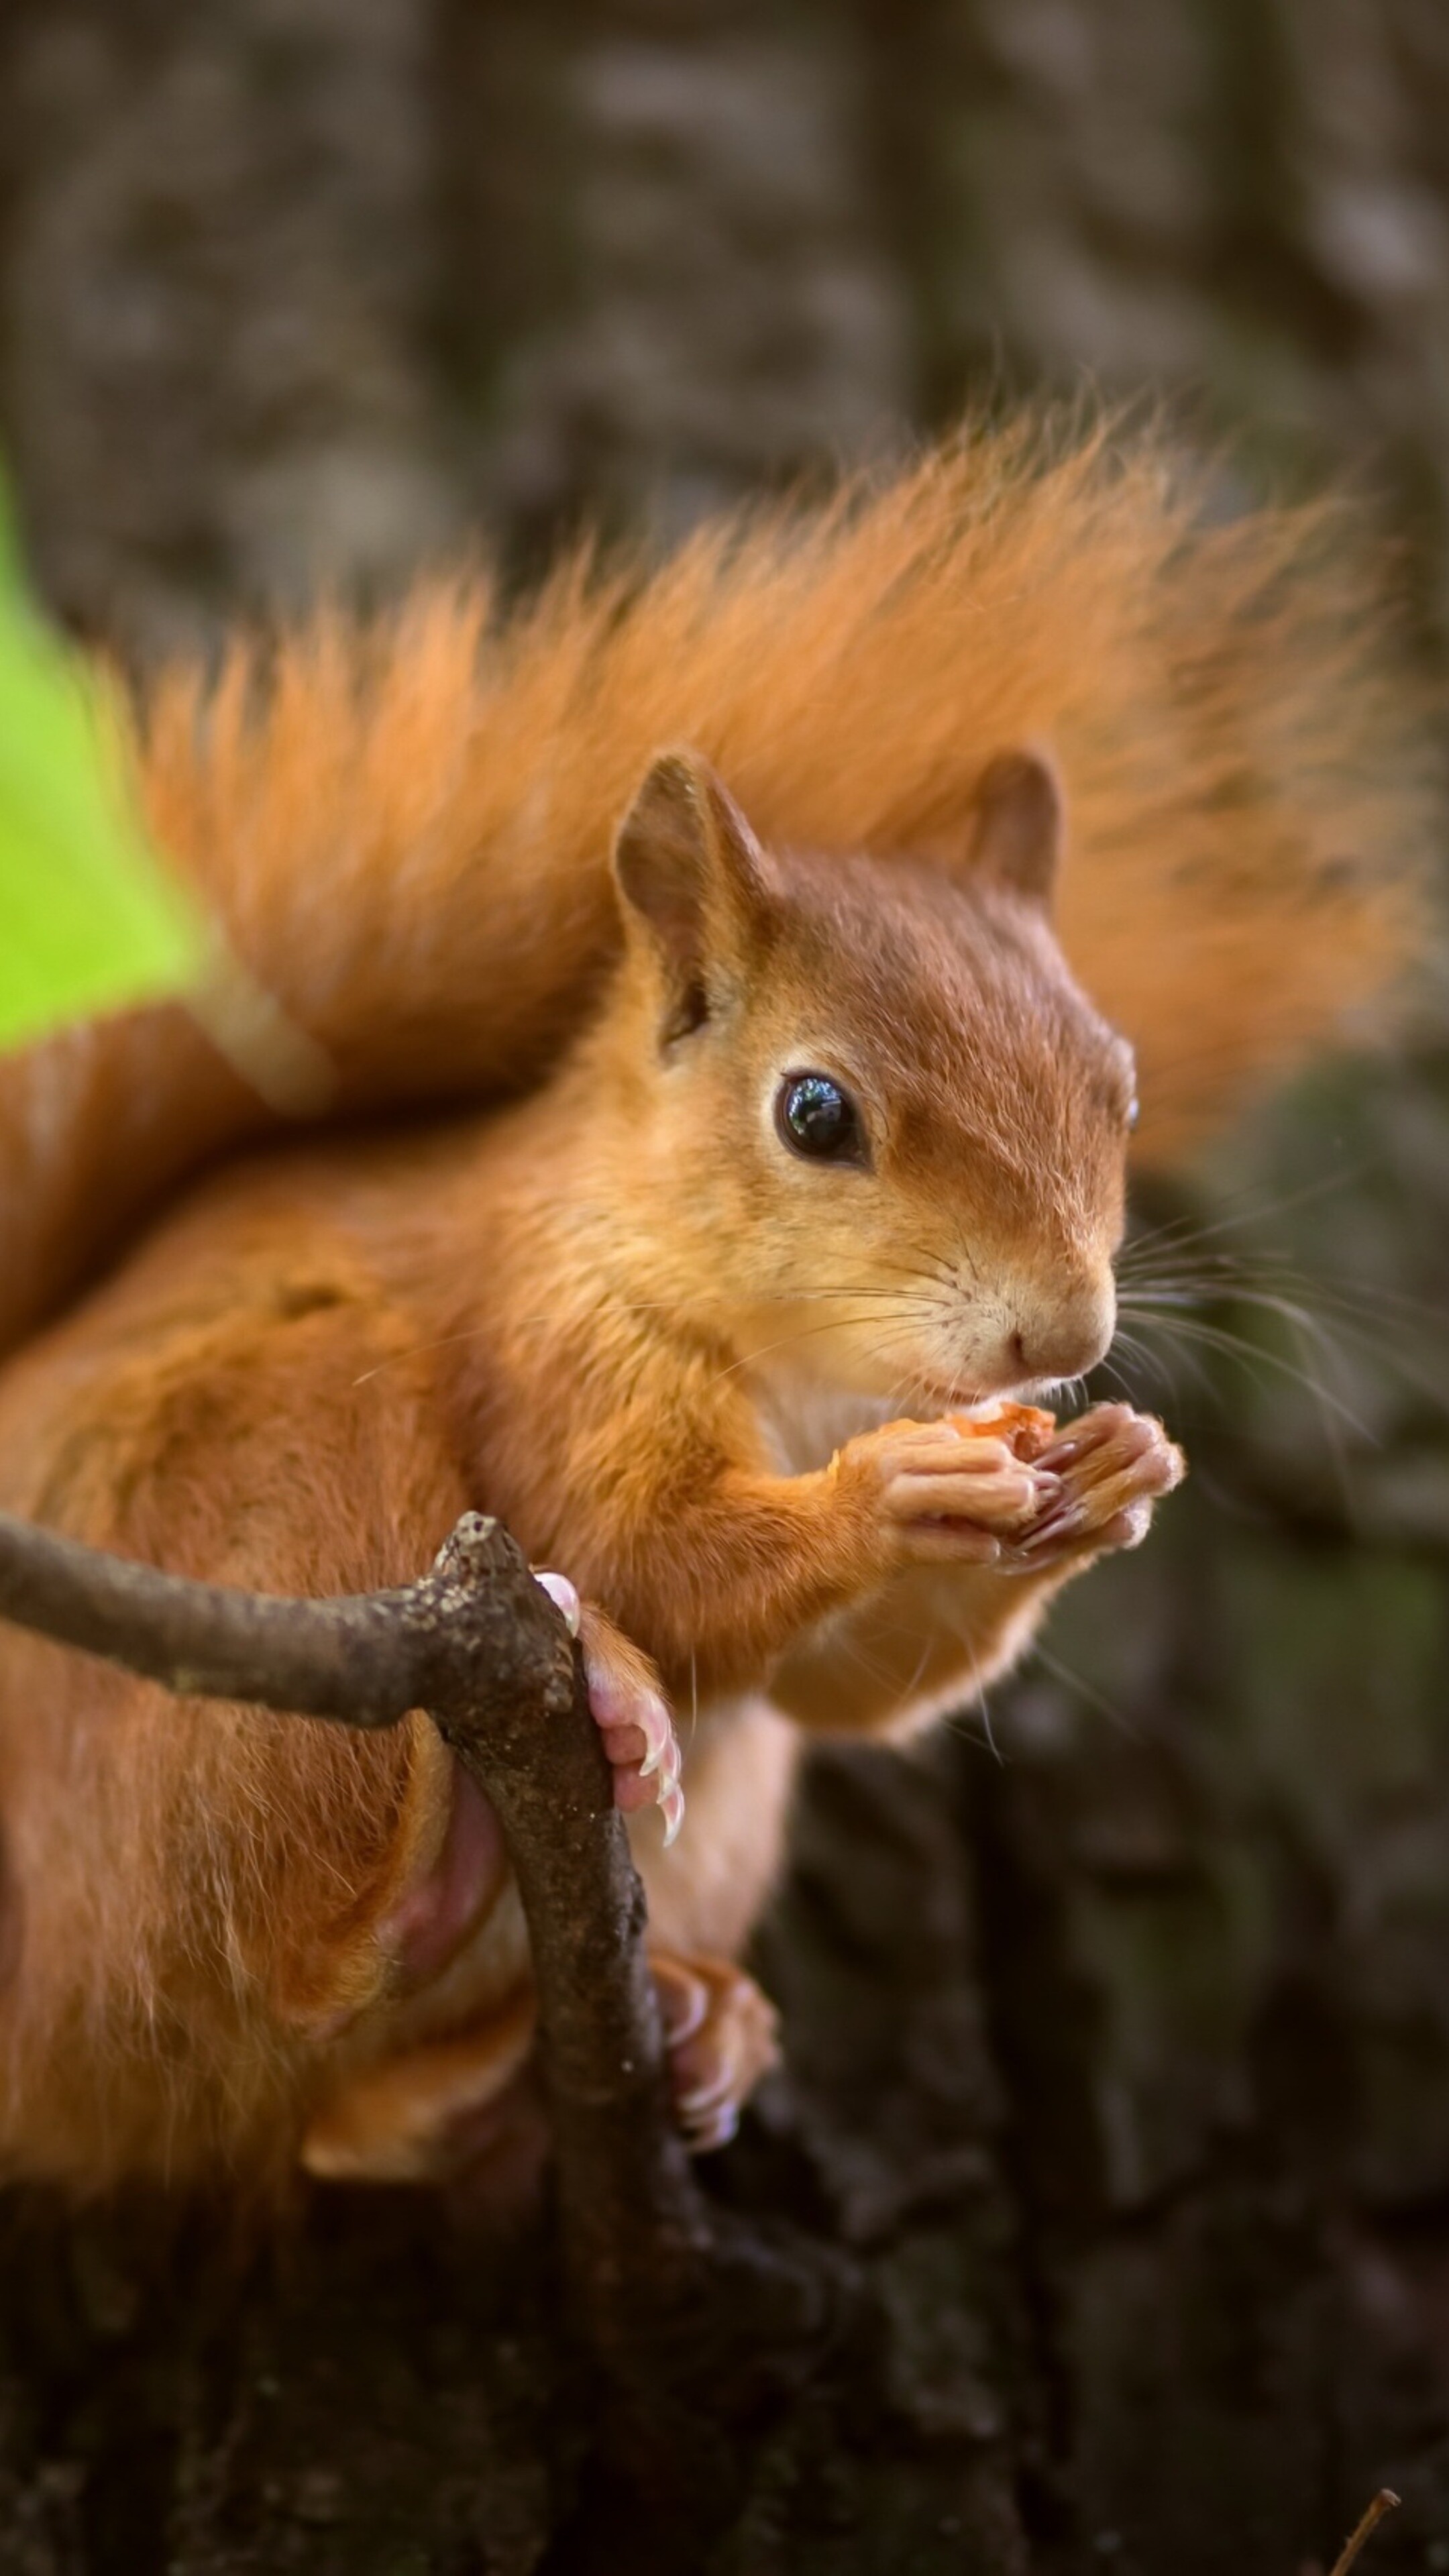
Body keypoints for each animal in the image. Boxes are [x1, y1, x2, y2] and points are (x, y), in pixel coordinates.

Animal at [0, 417, 1423, 2194]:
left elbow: (840, 1690)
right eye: (813, 1114)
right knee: (287, 1945)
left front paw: (1109, 1475)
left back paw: (632, 2039)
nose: (1063, 1343)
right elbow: (642, 1546)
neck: (804, 1369)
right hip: (281, 1477)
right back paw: (504, 1799)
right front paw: (888, 1493)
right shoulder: (547, 1335)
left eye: (1121, 1084)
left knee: (341, 2124)